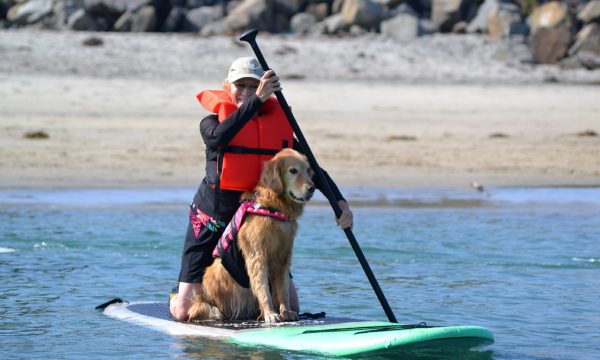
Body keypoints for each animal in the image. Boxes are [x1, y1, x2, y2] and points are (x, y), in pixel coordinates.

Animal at [189, 148, 316, 324]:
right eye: (293, 170)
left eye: (308, 170)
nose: (312, 188)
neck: (273, 208)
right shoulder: (257, 256)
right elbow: (263, 288)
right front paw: (270, 313)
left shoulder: (283, 257)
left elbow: (283, 289)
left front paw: (286, 311)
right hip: (215, 271)